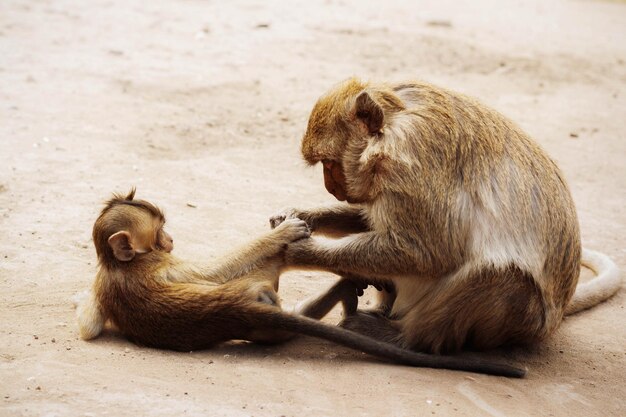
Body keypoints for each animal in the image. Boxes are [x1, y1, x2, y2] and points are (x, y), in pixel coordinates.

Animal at [75, 189, 524, 376]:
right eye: (160, 233)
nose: (170, 240)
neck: (120, 265)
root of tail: (240, 310)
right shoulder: (166, 266)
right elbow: (212, 272)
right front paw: (284, 233)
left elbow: (88, 328)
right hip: (260, 293)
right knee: (267, 271)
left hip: (265, 323)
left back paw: (348, 292)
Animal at [272, 79, 620, 354]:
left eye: (329, 163)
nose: (331, 188)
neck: (393, 125)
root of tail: (555, 319)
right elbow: (377, 222)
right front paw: (302, 216)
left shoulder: (411, 161)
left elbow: (427, 251)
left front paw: (299, 250)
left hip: (522, 322)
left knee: (504, 277)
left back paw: (405, 339)